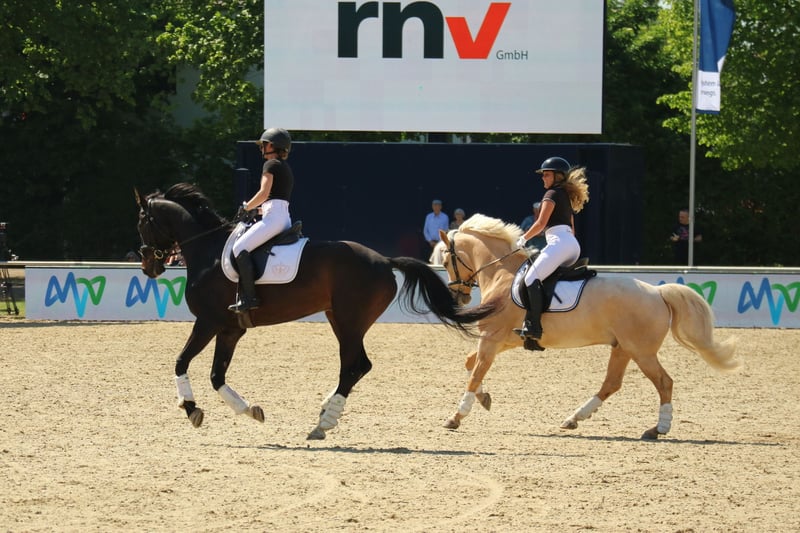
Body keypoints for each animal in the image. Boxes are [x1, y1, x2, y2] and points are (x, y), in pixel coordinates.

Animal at [135, 183, 494, 440]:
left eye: (142, 222)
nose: (149, 266)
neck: (207, 249)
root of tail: (383, 260)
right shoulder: (230, 328)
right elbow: (216, 375)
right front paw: (250, 410)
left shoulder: (207, 322)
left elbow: (181, 361)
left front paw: (190, 408)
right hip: (340, 320)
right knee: (357, 366)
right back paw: (324, 413)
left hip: (349, 322)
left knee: (353, 367)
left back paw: (323, 423)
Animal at [437, 214, 740, 439]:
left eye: (446, 261)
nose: (458, 296)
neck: (501, 274)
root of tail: (657, 291)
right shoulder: (502, 341)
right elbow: (470, 364)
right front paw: (484, 398)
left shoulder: (491, 338)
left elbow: (475, 372)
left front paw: (456, 416)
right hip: (623, 348)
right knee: (612, 383)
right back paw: (574, 418)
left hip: (641, 351)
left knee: (664, 382)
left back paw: (658, 428)